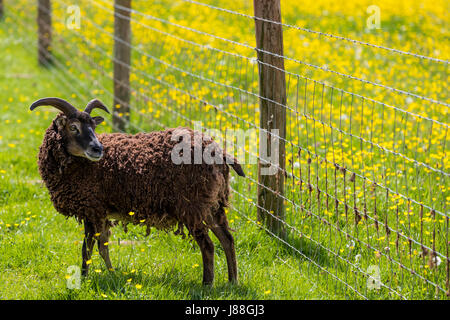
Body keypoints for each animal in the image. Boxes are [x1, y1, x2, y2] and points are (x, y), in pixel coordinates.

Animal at [29, 97, 244, 284]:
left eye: (93, 127)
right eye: (73, 127)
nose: (98, 149)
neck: (81, 166)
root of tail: (219, 153)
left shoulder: (91, 208)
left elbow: (87, 248)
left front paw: (85, 278)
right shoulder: (101, 212)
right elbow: (102, 246)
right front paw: (111, 273)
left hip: (192, 206)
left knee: (208, 245)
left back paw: (207, 284)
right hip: (212, 205)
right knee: (227, 239)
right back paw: (232, 282)